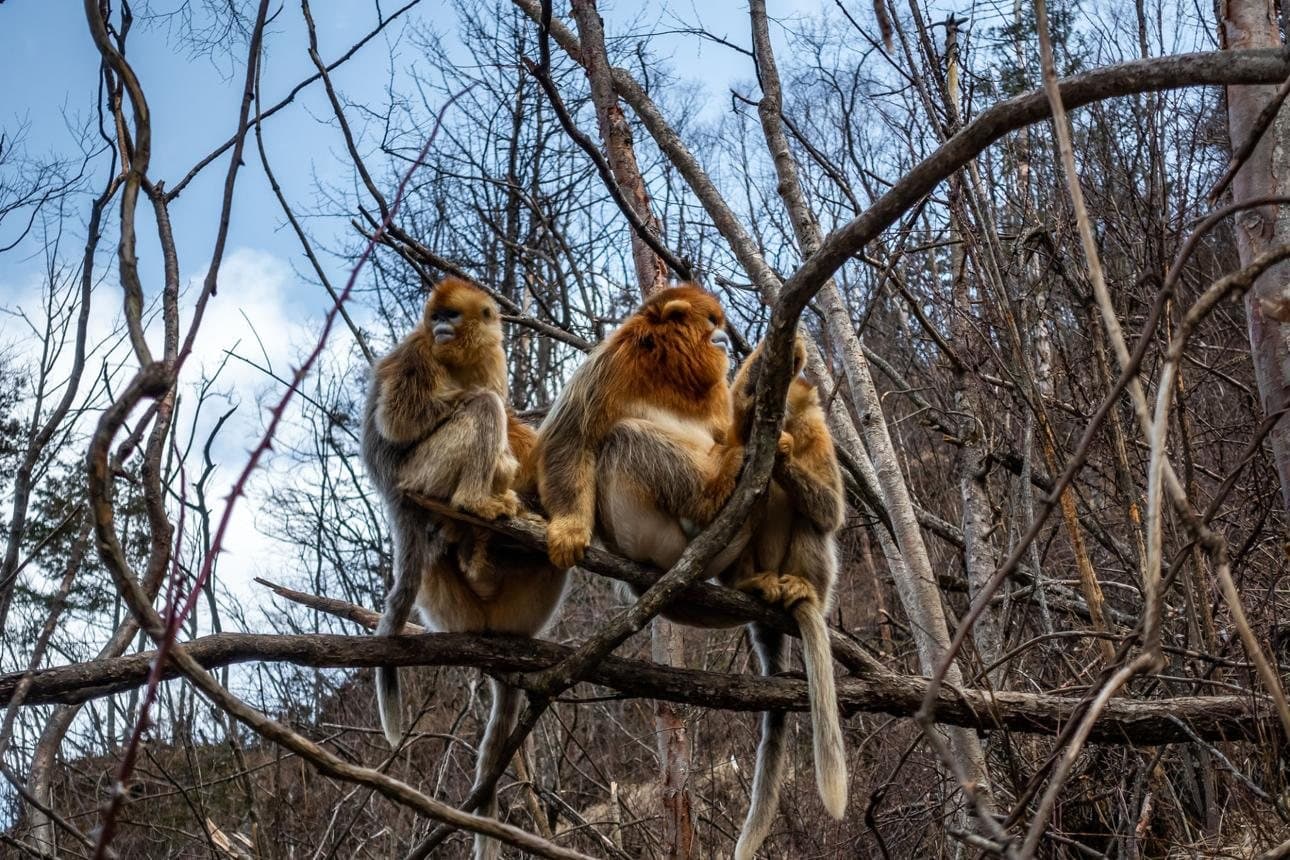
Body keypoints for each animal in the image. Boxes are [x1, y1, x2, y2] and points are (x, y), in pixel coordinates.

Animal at [362, 277, 568, 860]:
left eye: (451, 315)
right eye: (434, 318)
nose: (440, 328)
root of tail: (393, 494)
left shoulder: (492, 354)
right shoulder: (417, 354)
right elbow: (402, 418)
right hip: (419, 474)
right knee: (480, 409)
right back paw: (477, 503)